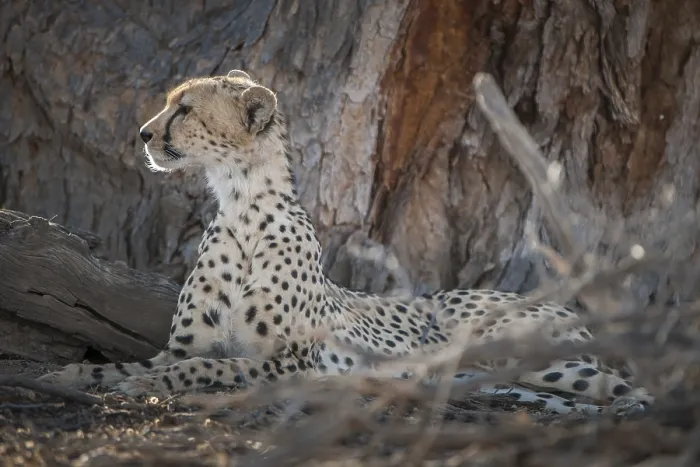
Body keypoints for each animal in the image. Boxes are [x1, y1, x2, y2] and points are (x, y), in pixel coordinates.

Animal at [38, 70, 654, 416]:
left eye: (184, 108)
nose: (144, 134)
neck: (241, 203)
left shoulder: (287, 365)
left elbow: (197, 371)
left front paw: (138, 384)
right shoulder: (185, 346)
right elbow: (134, 364)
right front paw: (68, 376)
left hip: (527, 351)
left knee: (629, 386)